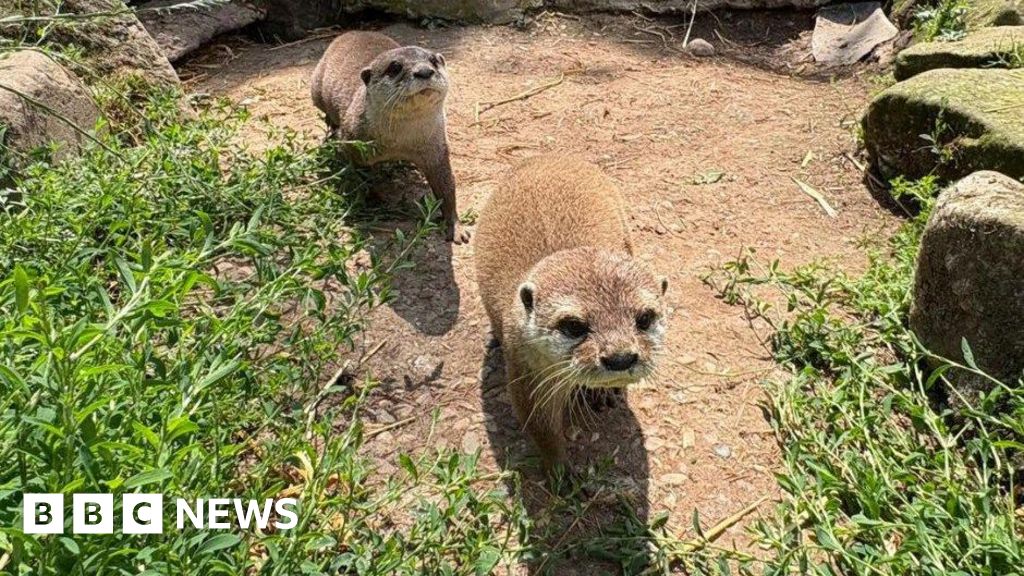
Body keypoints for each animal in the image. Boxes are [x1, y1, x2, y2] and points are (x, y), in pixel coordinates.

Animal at [310, 31, 467, 243]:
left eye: (433, 61)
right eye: (395, 67)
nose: (424, 71)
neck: (399, 143)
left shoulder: (437, 148)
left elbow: (447, 187)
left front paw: (455, 226)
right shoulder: (354, 143)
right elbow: (364, 177)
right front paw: (374, 200)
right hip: (315, 90)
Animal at [474, 155, 669, 472]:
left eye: (645, 318)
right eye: (574, 326)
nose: (620, 358)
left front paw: (602, 393)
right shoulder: (526, 370)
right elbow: (540, 426)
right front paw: (559, 468)